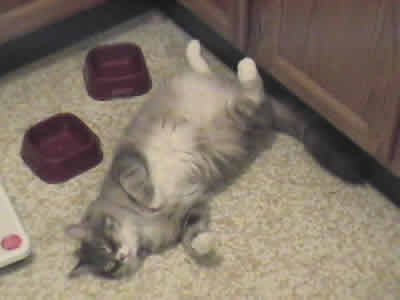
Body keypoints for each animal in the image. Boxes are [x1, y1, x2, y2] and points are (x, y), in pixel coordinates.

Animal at [65, 39, 368, 278]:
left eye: (108, 245)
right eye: (110, 267)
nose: (121, 257)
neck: (141, 222)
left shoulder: (127, 159)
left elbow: (137, 183)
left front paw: (153, 198)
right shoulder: (191, 208)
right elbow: (193, 237)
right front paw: (206, 243)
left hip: (238, 112)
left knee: (248, 86)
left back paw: (238, 61)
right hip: (243, 119)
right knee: (243, 89)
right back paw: (205, 51)